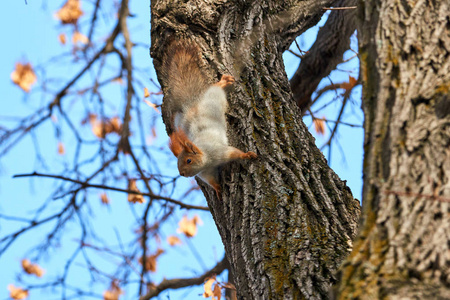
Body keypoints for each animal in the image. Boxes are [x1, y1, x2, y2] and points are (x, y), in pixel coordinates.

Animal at [163, 40, 258, 197]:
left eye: (188, 160)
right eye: (178, 164)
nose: (182, 174)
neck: (207, 159)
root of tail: (193, 104)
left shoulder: (220, 151)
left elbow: (235, 152)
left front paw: (247, 155)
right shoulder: (206, 173)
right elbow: (212, 180)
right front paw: (218, 189)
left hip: (214, 97)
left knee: (216, 87)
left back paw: (224, 82)